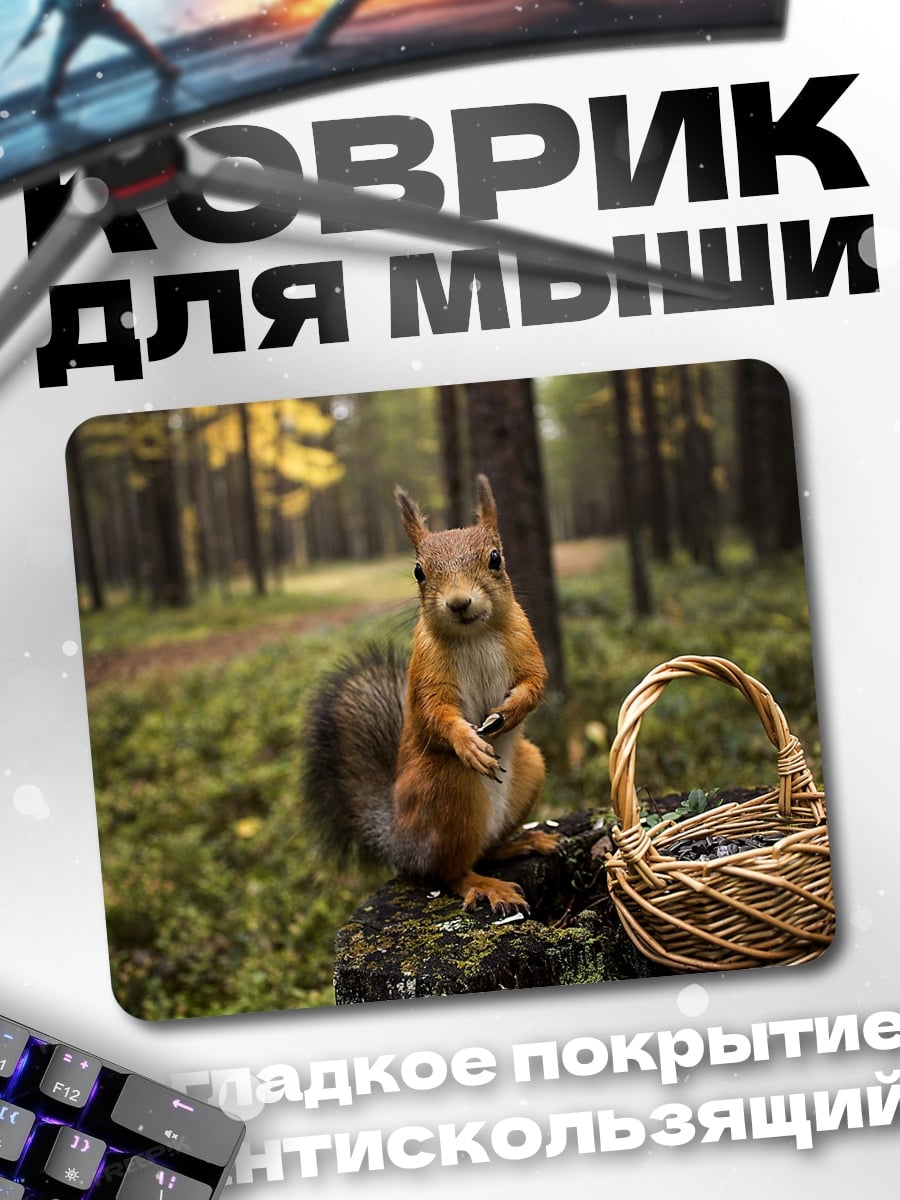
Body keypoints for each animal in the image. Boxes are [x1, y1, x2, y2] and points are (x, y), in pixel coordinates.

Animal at [302, 474, 559, 914]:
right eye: (419, 571)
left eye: (496, 558)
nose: (459, 602)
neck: (474, 634)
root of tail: (402, 843)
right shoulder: (426, 670)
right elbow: (434, 712)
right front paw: (467, 742)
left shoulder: (526, 644)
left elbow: (535, 682)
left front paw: (511, 711)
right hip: (447, 789)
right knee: (448, 871)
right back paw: (486, 884)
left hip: (530, 767)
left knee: (486, 849)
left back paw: (525, 842)